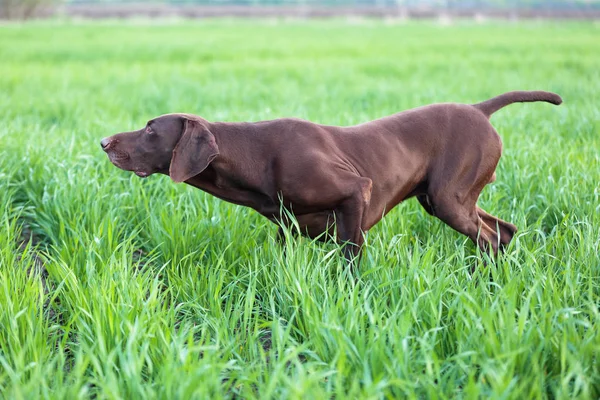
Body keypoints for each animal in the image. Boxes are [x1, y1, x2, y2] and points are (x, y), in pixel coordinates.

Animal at [102, 92, 564, 264]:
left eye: (150, 130)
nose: (104, 141)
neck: (254, 157)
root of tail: (478, 109)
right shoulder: (287, 230)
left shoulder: (356, 195)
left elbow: (351, 260)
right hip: (449, 199)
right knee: (503, 232)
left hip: (448, 198)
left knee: (488, 237)